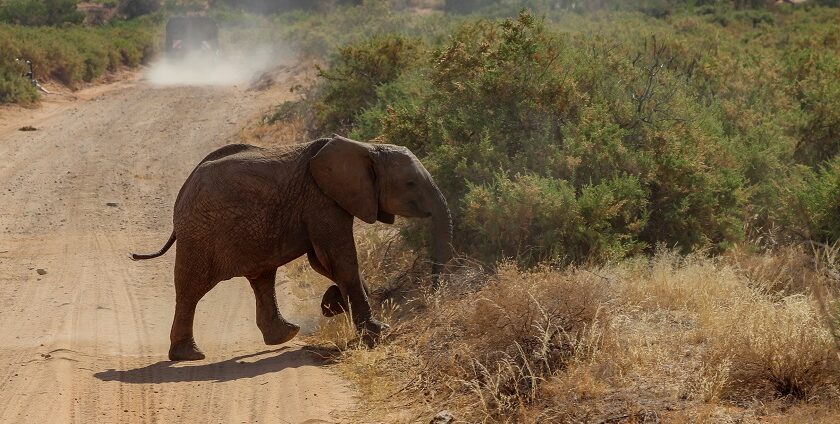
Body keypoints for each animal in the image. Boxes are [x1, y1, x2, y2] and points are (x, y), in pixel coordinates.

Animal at [131, 134, 452, 360]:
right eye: (410, 183)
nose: (434, 296)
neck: (367, 147)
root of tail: (183, 190)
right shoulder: (321, 200)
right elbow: (339, 259)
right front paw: (376, 331)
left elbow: (323, 262)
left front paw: (332, 304)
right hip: (200, 233)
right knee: (192, 289)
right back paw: (189, 355)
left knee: (262, 278)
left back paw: (285, 335)